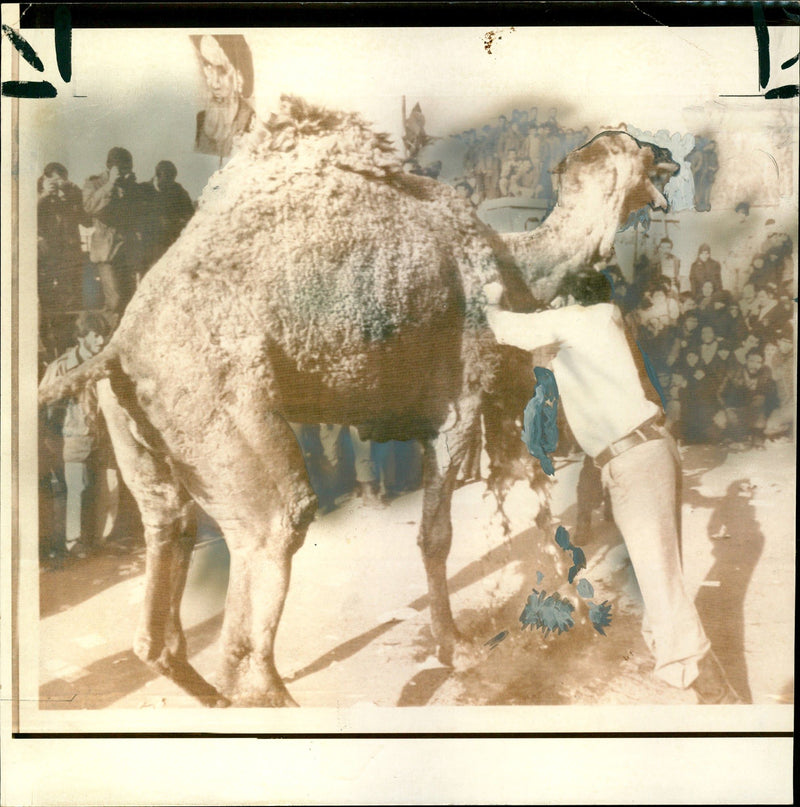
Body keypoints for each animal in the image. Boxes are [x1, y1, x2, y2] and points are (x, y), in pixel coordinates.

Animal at [37, 98, 676, 708]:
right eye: (638, 150)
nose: (669, 156)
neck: (510, 256)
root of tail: (119, 346)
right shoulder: (458, 399)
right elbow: (438, 534)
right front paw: (458, 650)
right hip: (213, 399)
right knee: (275, 531)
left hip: (144, 429)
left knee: (167, 548)